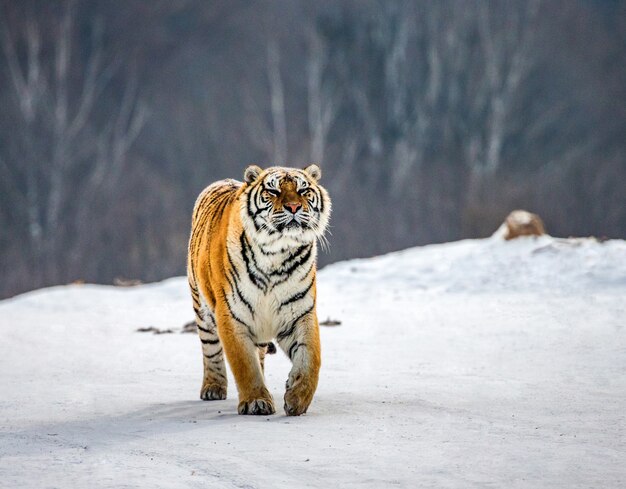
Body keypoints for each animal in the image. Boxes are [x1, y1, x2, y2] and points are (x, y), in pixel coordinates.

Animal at [186, 164, 330, 416]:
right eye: (273, 191)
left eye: (303, 190)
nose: (294, 207)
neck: (277, 254)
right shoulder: (231, 316)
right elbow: (245, 364)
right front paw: (256, 401)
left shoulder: (300, 313)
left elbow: (310, 359)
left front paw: (297, 398)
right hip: (201, 309)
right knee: (211, 351)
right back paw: (213, 388)